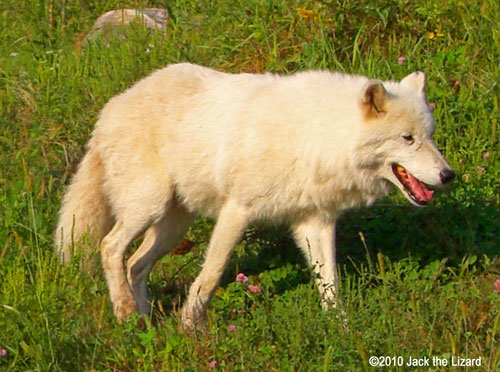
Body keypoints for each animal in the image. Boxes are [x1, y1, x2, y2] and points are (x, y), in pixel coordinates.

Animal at [56, 62, 456, 326]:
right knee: (110, 248)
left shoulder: (315, 223)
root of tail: (108, 111)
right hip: (148, 207)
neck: (316, 136)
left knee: (135, 264)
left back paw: (144, 324)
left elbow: (331, 284)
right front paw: (191, 326)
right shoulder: (237, 210)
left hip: (173, 226)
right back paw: (125, 312)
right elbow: (211, 276)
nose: (448, 175)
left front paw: (341, 330)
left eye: (431, 136)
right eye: (408, 138)